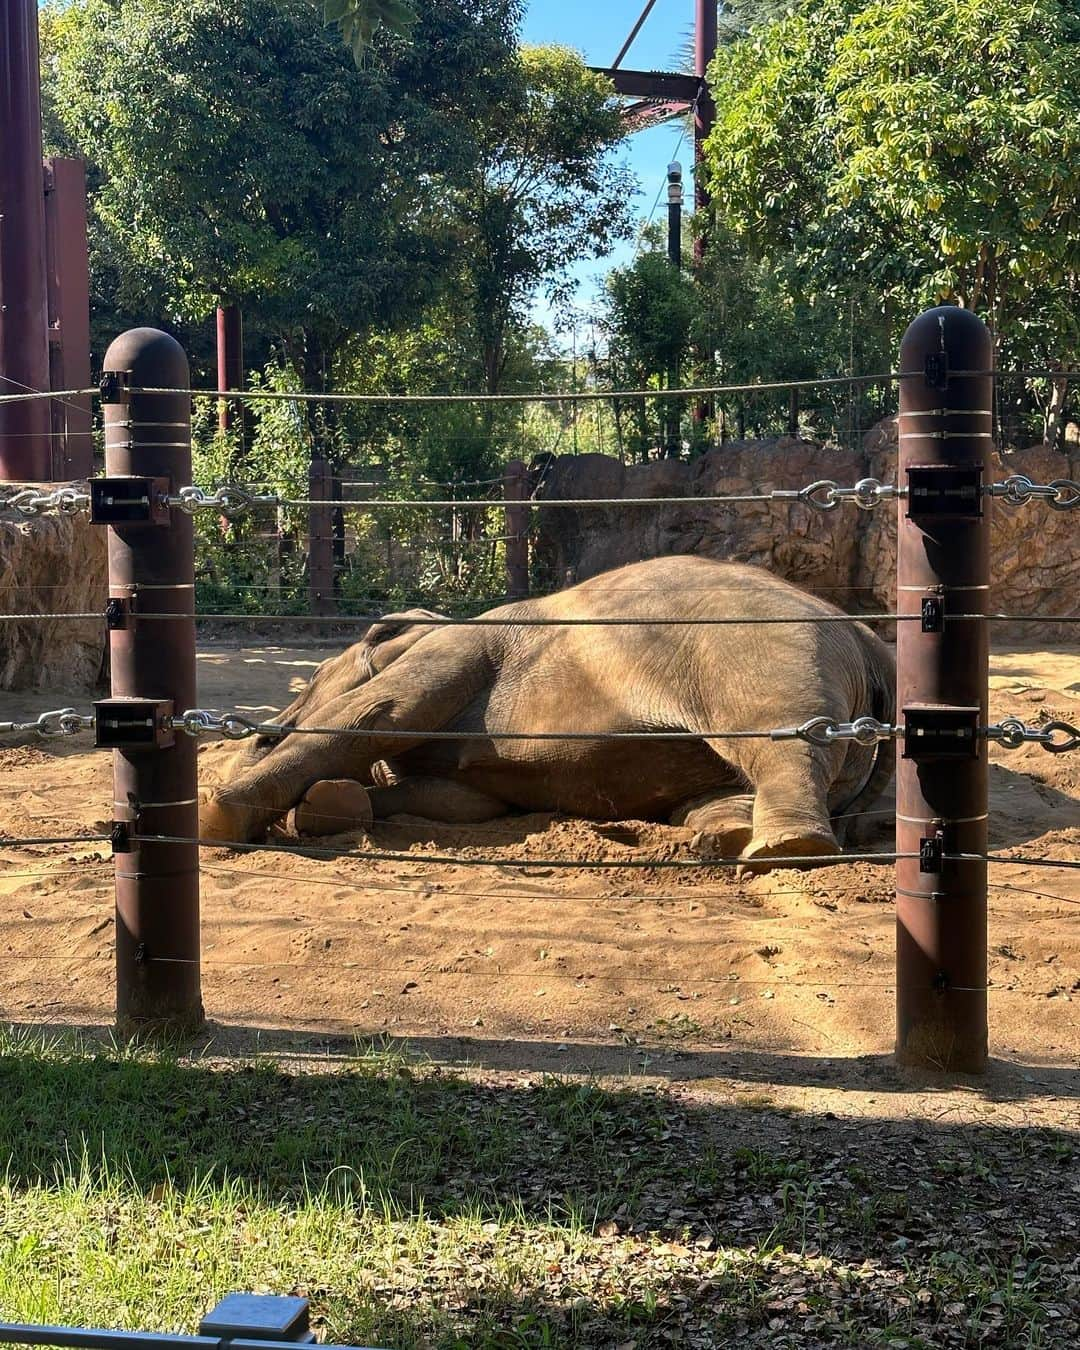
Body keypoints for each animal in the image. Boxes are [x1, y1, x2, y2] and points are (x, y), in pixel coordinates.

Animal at [202, 556, 896, 864]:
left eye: (316, 674)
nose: (257, 737)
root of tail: (868, 640)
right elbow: (462, 802)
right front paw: (329, 807)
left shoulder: (459, 649)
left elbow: (378, 712)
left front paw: (216, 818)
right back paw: (719, 834)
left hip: (765, 653)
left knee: (782, 737)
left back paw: (782, 848)